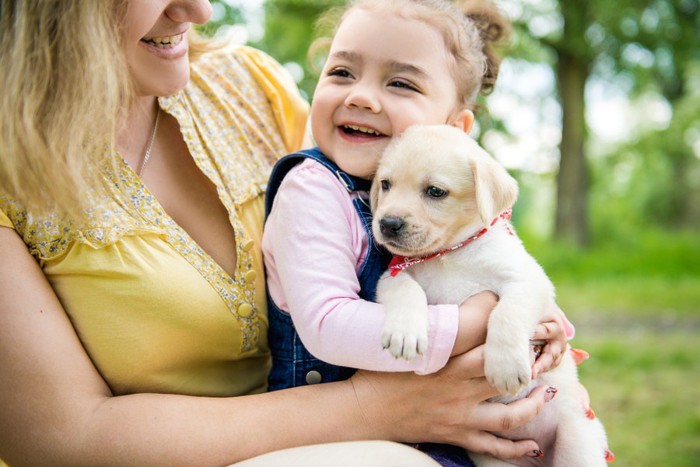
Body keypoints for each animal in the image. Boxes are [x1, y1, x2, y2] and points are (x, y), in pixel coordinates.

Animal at [372, 125, 608, 467]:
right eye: (386, 184)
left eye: (435, 191)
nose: (387, 224)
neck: (448, 256)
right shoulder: (392, 275)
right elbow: (406, 290)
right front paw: (405, 333)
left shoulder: (528, 280)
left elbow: (506, 314)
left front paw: (505, 365)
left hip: (577, 443)